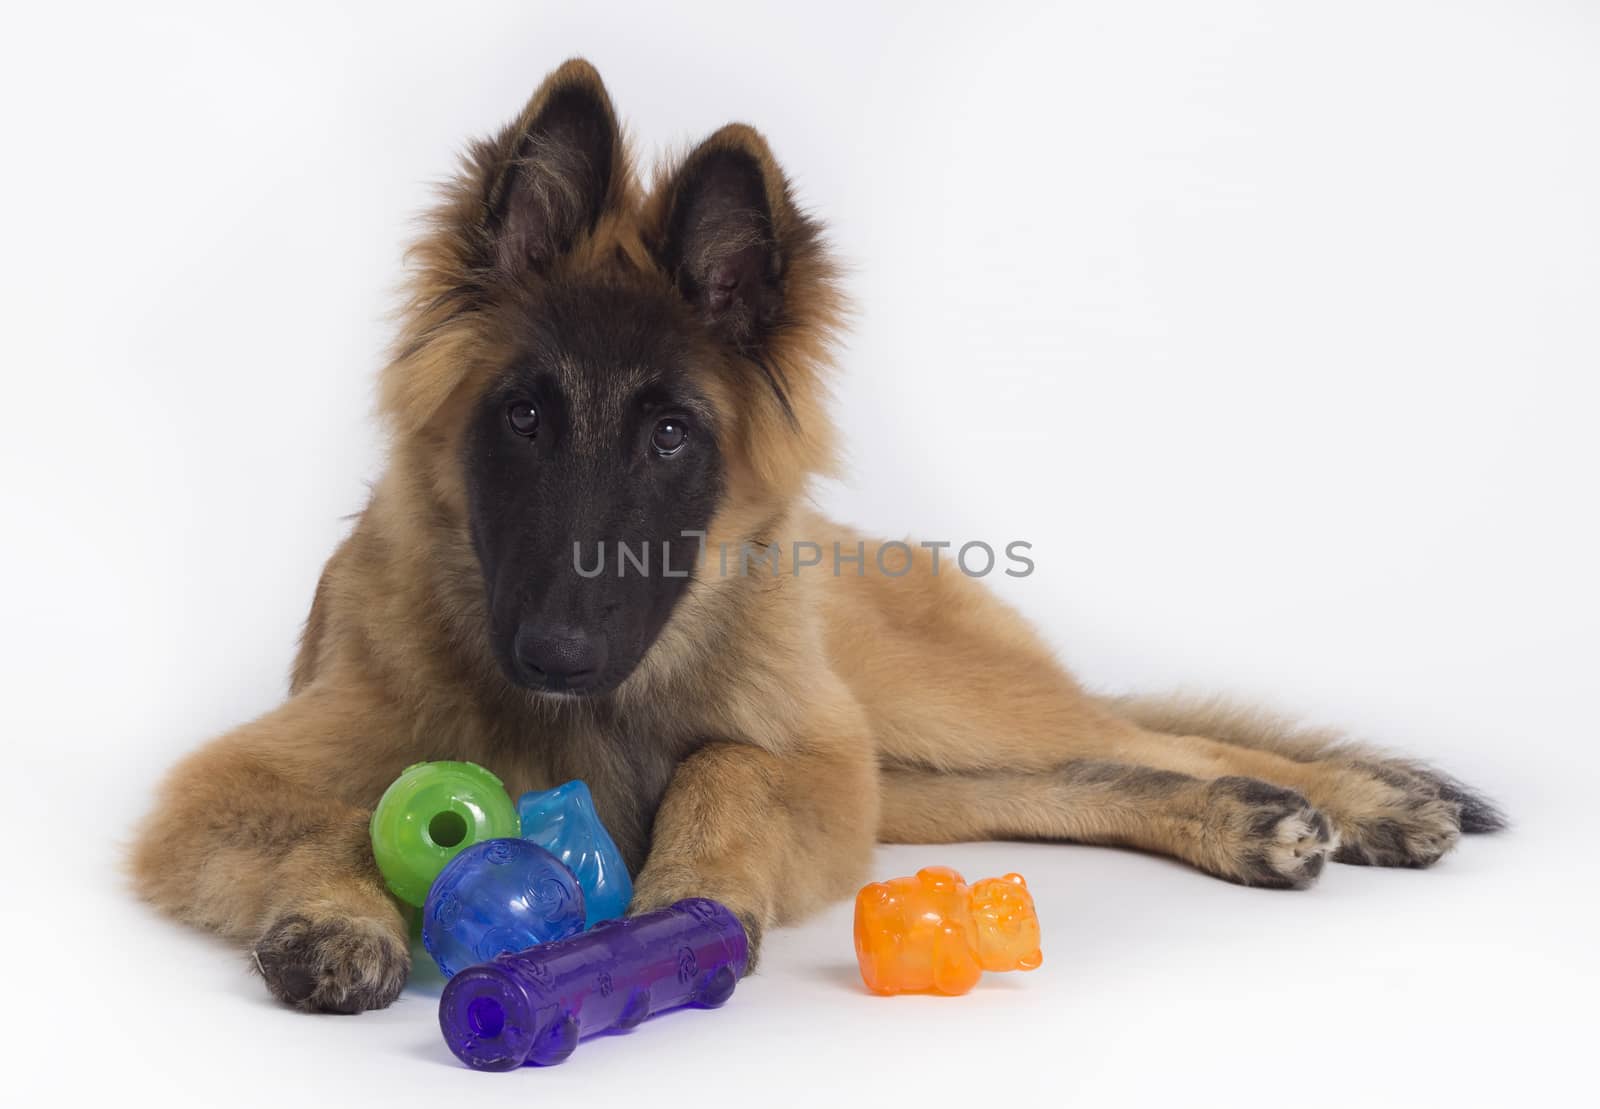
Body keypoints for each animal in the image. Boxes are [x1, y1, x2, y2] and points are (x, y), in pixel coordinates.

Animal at [128, 60, 1497, 1011]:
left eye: (669, 434)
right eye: (520, 415)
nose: (559, 652)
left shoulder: (811, 758)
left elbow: (723, 767)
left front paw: (683, 905)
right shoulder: (227, 778)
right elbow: (317, 817)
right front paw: (336, 918)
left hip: (925, 705)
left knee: (1149, 735)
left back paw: (1363, 799)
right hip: (917, 771)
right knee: (1075, 778)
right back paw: (1254, 823)